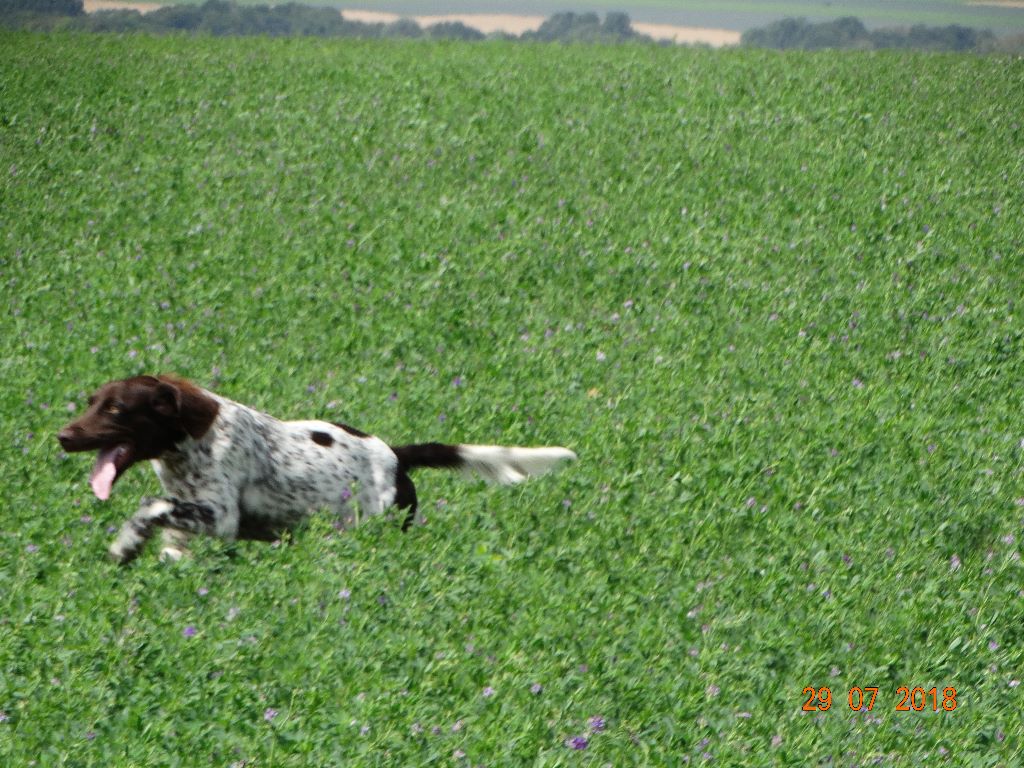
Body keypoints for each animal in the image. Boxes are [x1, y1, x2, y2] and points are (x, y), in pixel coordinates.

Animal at [58, 374, 577, 561]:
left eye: (117, 409)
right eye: (91, 401)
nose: (63, 437)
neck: (187, 442)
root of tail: (396, 455)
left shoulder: (220, 517)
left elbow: (150, 504)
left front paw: (124, 543)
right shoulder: (184, 527)